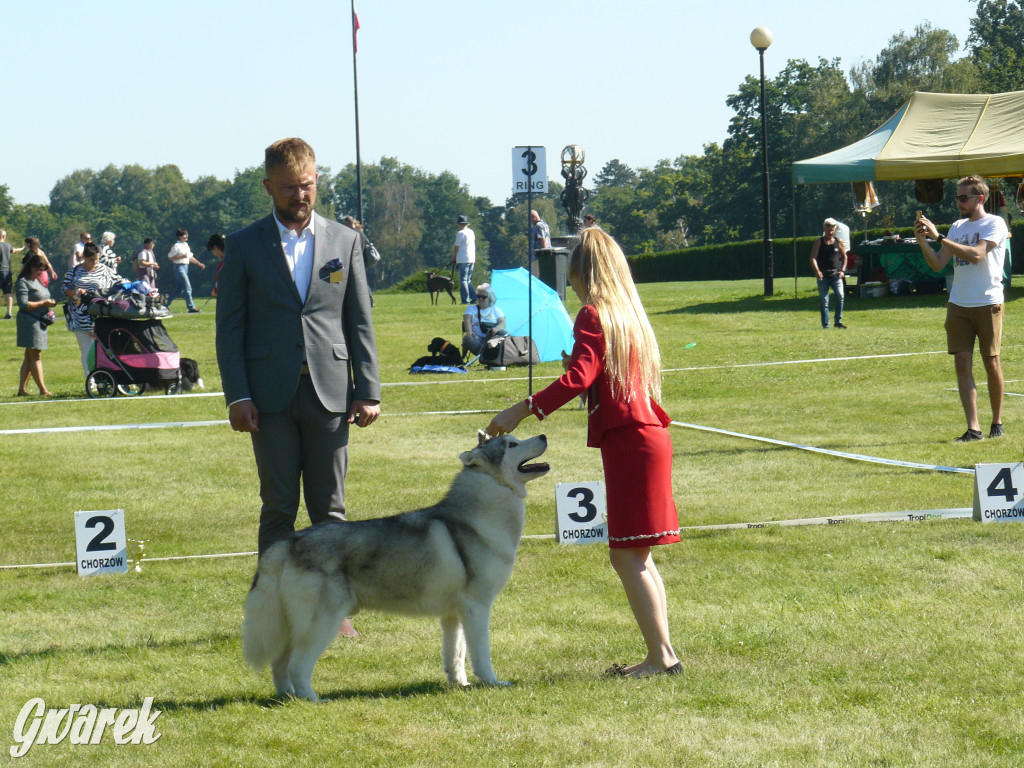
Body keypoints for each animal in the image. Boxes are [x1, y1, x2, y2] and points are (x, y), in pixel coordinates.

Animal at [242, 434, 548, 704]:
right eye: (511, 444)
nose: (543, 436)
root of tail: (288, 542)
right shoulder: (477, 607)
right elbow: (481, 653)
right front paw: (492, 682)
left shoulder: (454, 614)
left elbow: (456, 655)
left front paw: (459, 684)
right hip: (321, 623)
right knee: (297, 665)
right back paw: (312, 699)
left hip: (293, 626)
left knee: (279, 663)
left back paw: (287, 697)